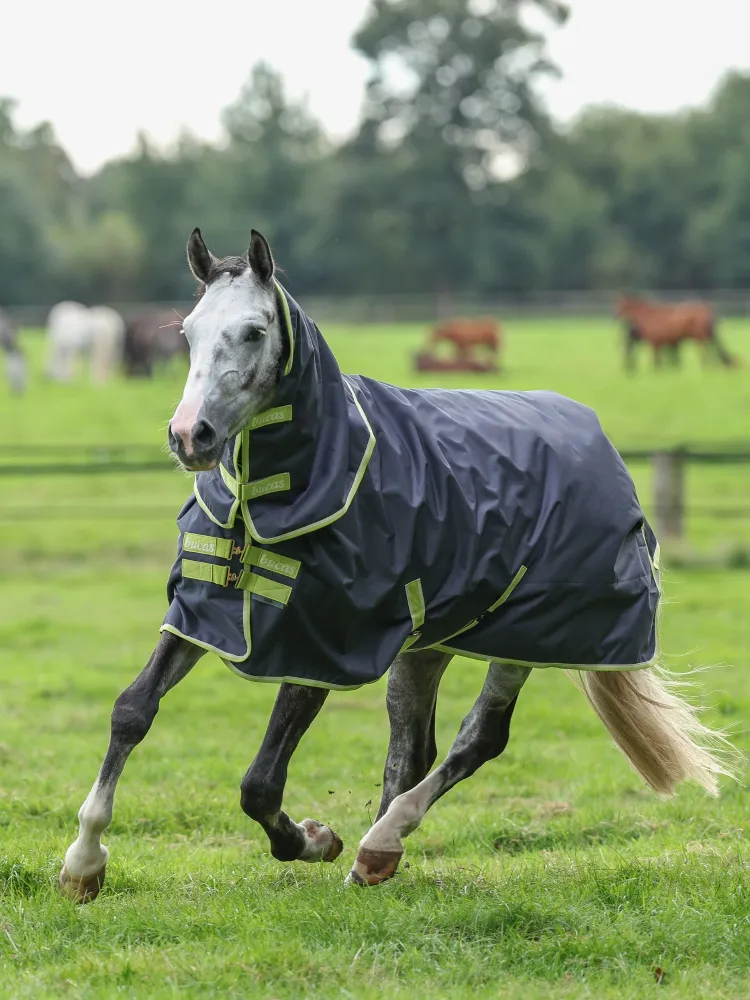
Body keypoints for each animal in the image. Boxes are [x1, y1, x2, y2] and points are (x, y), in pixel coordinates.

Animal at [59, 229, 734, 903]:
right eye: (188, 332)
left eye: (253, 331)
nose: (189, 436)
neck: (293, 489)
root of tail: (603, 446)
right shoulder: (205, 613)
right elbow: (132, 711)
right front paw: (83, 862)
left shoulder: (320, 640)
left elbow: (260, 784)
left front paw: (313, 839)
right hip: (426, 642)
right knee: (413, 746)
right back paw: (374, 860)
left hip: (525, 636)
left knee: (478, 738)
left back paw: (378, 841)